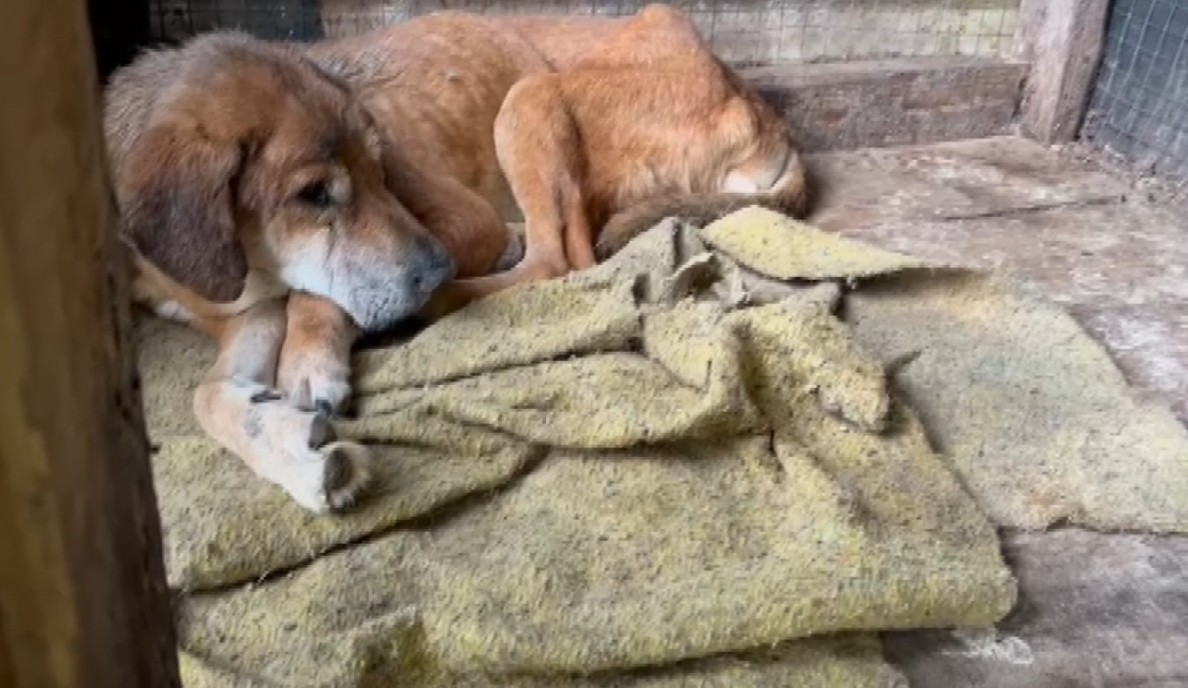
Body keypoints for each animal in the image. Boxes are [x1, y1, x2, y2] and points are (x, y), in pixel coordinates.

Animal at [103, 4, 809, 512]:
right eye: (312, 195)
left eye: (380, 164)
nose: (434, 268)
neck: (254, 269)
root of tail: (757, 105)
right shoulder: (242, 310)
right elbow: (208, 395)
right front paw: (292, 451)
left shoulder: (461, 223)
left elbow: (318, 293)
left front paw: (311, 360)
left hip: (529, 95)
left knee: (561, 260)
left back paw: (444, 299)